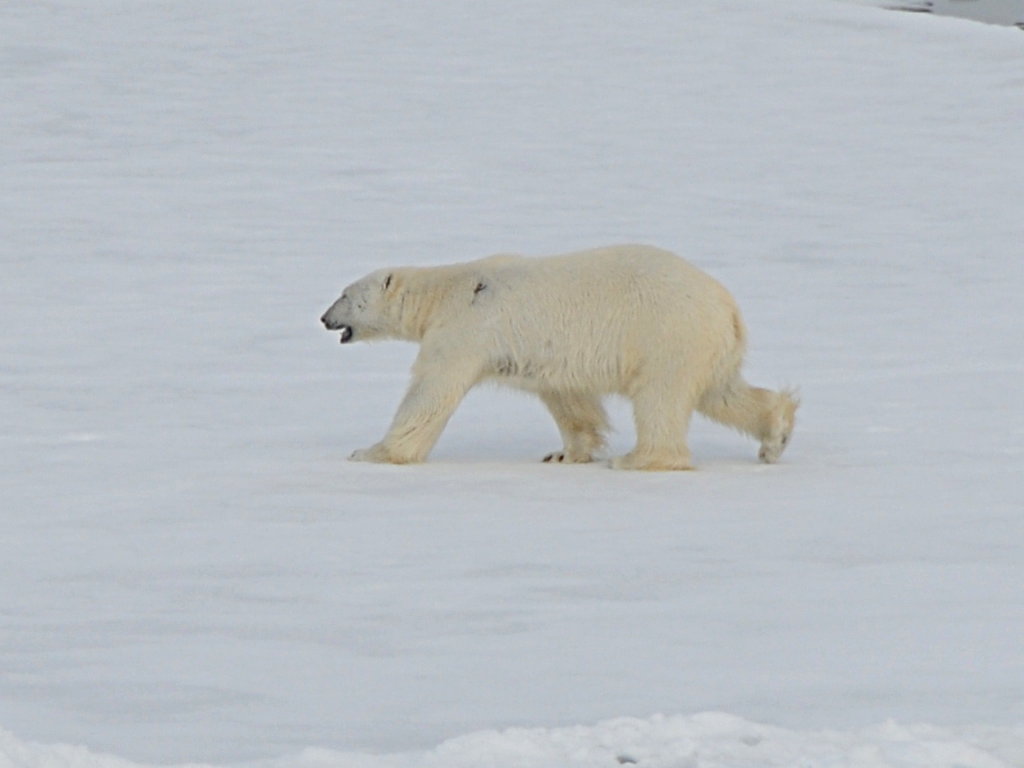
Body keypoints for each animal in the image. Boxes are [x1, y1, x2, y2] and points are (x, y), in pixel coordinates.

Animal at [319, 243, 798, 468]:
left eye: (344, 294)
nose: (323, 318)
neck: (447, 291)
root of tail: (728, 306)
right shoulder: (545, 355)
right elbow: (568, 397)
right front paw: (565, 453)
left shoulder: (465, 330)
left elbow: (430, 392)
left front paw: (371, 452)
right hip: (705, 344)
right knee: (722, 392)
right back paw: (776, 433)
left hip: (667, 333)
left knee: (660, 397)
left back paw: (640, 459)